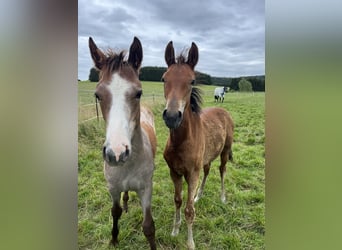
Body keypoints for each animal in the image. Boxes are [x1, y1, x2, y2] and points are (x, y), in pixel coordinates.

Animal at [89, 36, 157, 249]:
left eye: (138, 93)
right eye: (97, 95)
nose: (117, 153)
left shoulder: (146, 189)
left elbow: (148, 226)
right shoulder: (112, 188)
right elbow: (115, 212)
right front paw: (113, 239)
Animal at [162, 40, 234, 249]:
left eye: (192, 81)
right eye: (163, 79)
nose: (171, 116)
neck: (181, 141)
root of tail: (223, 110)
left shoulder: (192, 173)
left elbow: (189, 210)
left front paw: (190, 243)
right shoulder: (174, 172)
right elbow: (178, 200)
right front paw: (175, 230)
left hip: (225, 151)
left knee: (222, 170)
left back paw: (223, 197)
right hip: (207, 157)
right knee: (208, 170)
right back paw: (199, 195)